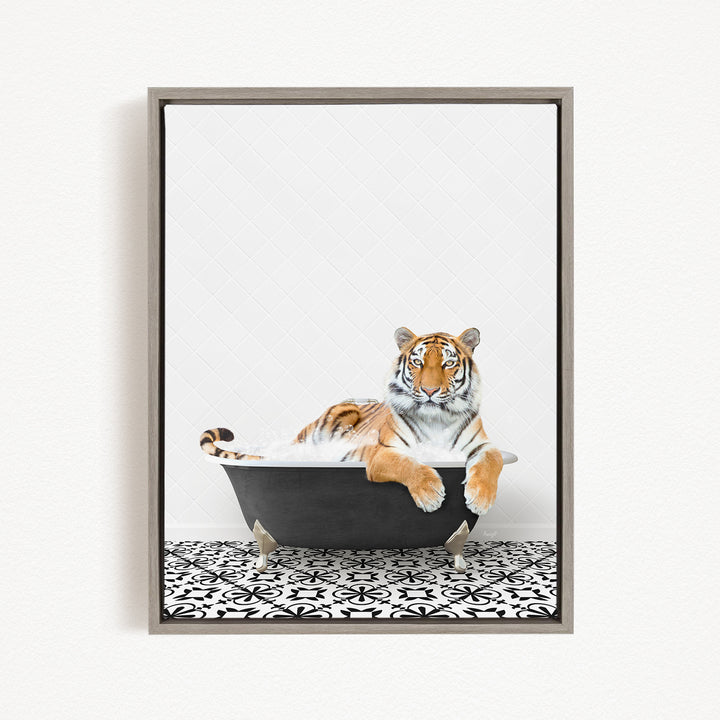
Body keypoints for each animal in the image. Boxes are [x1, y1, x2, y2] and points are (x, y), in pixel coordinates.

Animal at [200, 327, 504, 516]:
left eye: (447, 364)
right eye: (417, 363)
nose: (429, 391)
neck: (436, 418)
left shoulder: (482, 446)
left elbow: (493, 460)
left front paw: (480, 498)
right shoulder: (383, 453)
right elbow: (409, 465)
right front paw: (430, 494)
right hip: (339, 414)